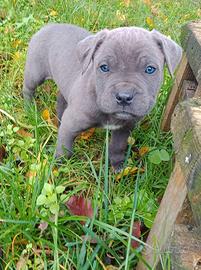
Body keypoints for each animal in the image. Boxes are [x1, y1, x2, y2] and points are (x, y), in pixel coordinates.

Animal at [23, 24, 182, 170]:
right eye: (104, 67)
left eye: (150, 69)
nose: (124, 97)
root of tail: (49, 25)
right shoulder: (70, 126)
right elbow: (64, 150)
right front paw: (57, 169)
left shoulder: (124, 129)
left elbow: (117, 147)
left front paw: (118, 167)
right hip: (35, 72)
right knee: (28, 89)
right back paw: (29, 108)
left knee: (61, 98)